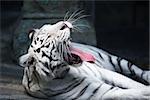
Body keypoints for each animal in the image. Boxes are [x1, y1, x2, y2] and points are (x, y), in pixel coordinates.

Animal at [19, 10, 149, 99]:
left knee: (138, 71)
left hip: (115, 60)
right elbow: (131, 92)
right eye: (48, 38)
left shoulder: (105, 72)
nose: (64, 24)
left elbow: (132, 83)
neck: (67, 71)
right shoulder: (100, 92)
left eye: (49, 25)